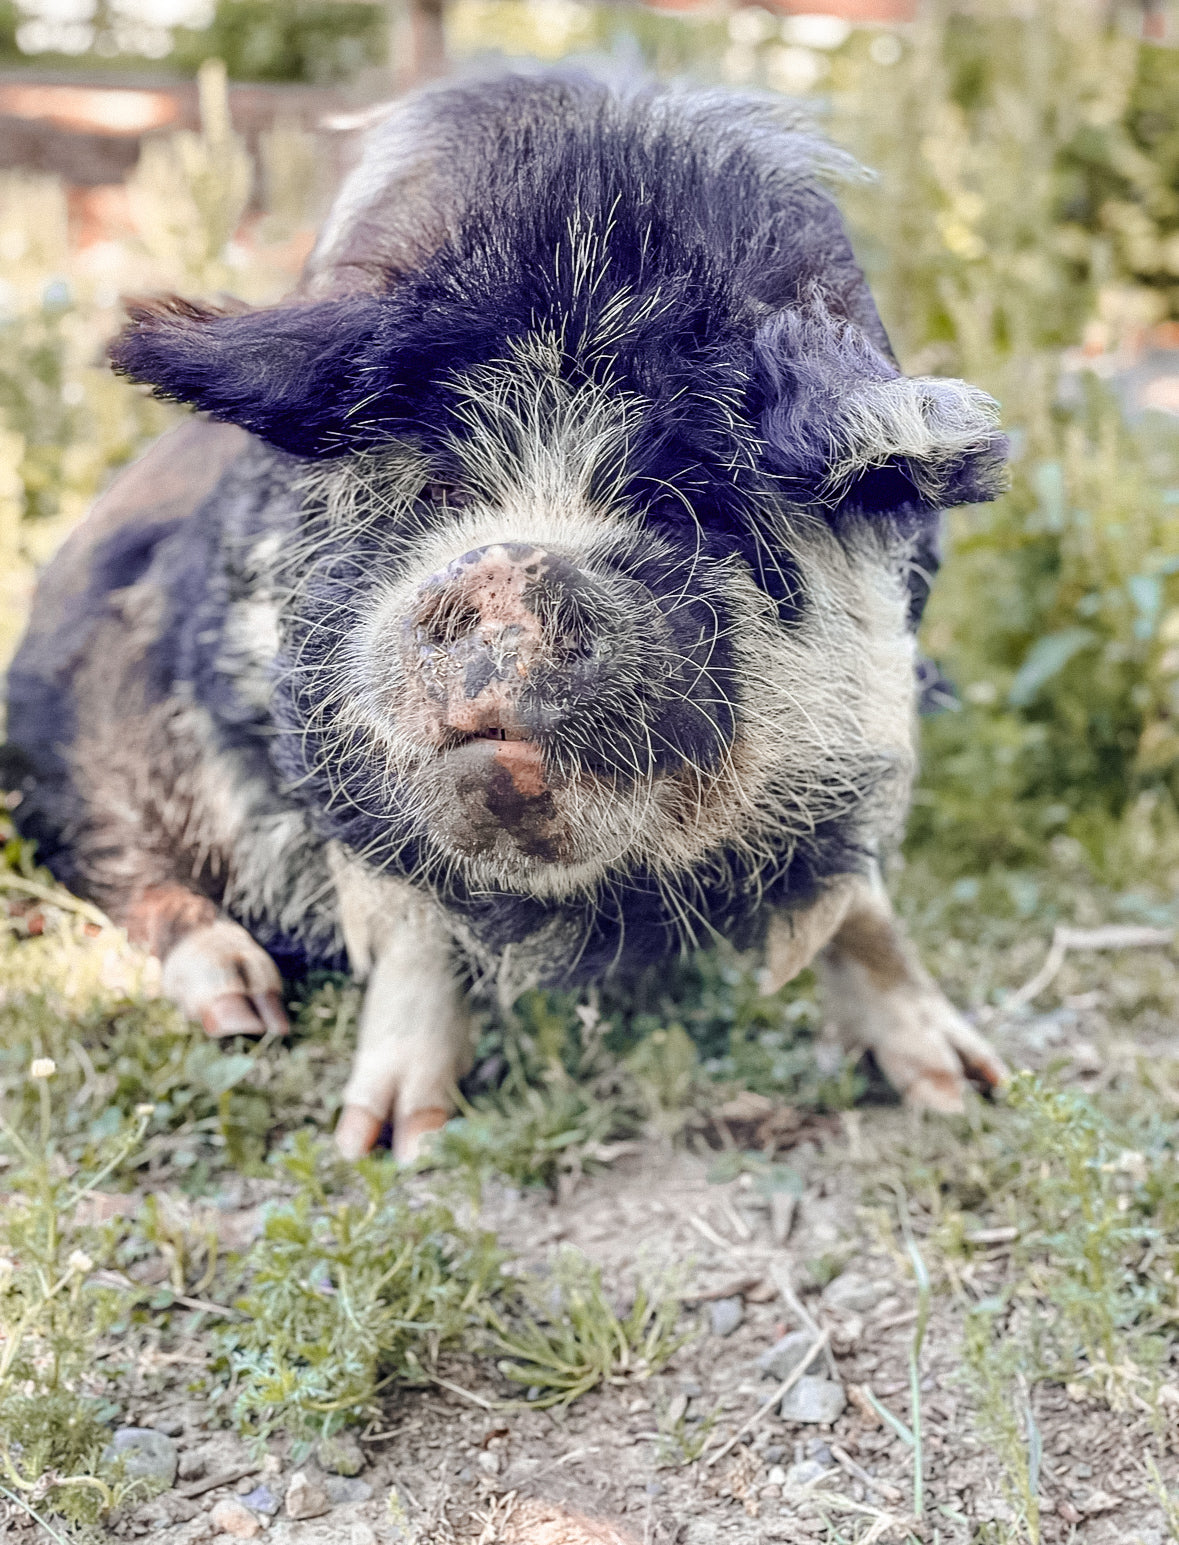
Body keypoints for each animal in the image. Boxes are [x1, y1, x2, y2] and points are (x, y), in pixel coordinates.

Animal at [4, 70, 1008, 1159]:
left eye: (685, 500)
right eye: (440, 489)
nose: (502, 570)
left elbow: (857, 899)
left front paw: (965, 1094)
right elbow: (406, 916)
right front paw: (392, 1143)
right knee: (117, 862)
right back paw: (245, 1010)